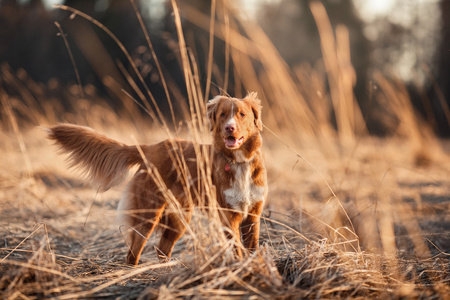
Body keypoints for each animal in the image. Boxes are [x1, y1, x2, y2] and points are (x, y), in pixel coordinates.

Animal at [46, 92, 268, 264]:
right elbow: (237, 249)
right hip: (148, 214)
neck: (240, 162)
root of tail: (148, 148)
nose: (230, 128)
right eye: (223, 115)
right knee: (133, 253)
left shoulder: (253, 215)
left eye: (242, 115)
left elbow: (252, 247)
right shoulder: (228, 216)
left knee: (162, 249)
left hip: (179, 217)